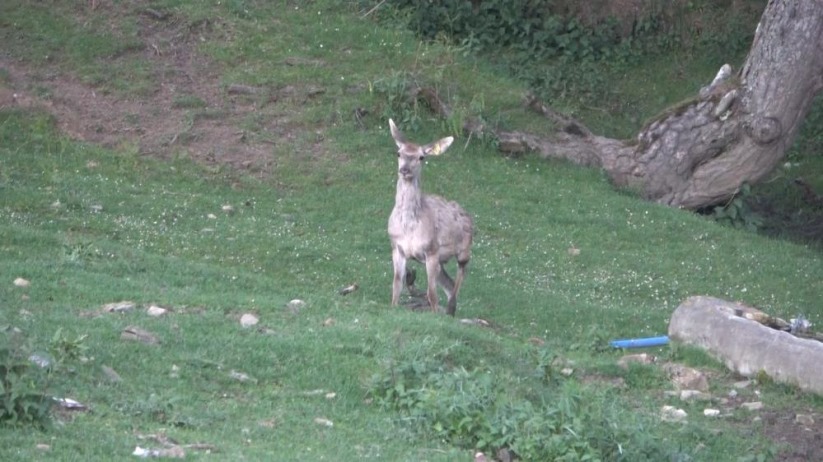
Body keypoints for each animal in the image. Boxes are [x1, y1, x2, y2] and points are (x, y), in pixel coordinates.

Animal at [388, 118, 474, 318]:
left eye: (421, 157)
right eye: (398, 153)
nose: (404, 170)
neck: (409, 228)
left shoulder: (432, 250)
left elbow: (432, 294)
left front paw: (434, 314)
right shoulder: (396, 247)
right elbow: (396, 286)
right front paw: (393, 307)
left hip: (464, 250)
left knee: (460, 276)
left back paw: (450, 309)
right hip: (441, 261)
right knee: (449, 285)